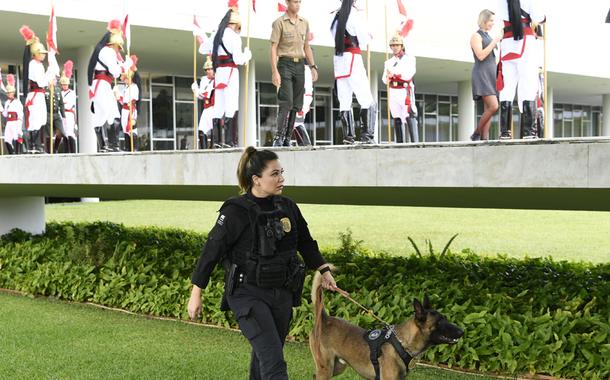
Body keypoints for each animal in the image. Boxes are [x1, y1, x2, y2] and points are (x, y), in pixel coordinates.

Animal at [308, 268, 460, 378]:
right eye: (439, 322)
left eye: (445, 318)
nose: (462, 331)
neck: (401, 343)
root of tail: (324, 319)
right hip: (326, 369)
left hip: (336, 367)